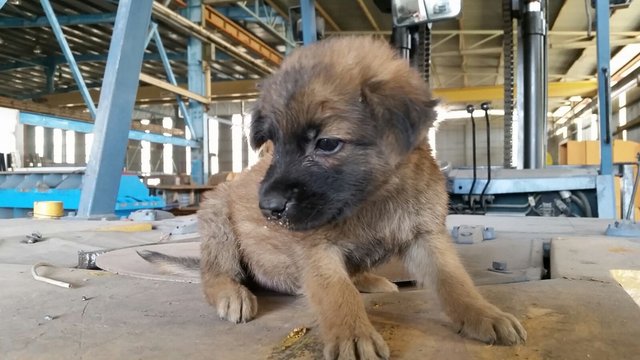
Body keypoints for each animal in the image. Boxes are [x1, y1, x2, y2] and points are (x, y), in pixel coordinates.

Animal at [145, 35, 524, 358]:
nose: (267, 208)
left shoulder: (425, 237)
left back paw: (369, 280)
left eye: (326, 143)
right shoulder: (316, 249)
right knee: (215, 274)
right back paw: (232, 293)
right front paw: (353, 335)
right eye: (274, 143)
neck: (373, 198)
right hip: (217, 219)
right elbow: (337, 293)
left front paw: (484, 314)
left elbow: (454, 282)